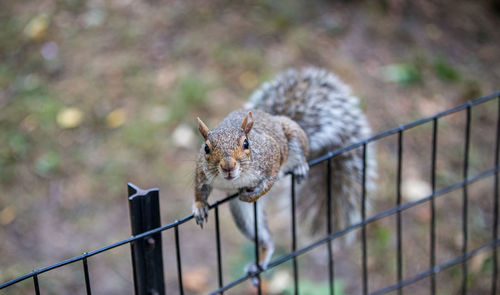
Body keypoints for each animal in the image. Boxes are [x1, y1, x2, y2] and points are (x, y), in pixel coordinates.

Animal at [191, 67, 376, 284]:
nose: (228, 166)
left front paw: (254, 194)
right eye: (206, 148)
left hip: (293, 137)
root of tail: (274, 116)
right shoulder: (201, 170)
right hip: (243, 216)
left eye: (246, 144)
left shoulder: (270, 158)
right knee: (264, 238)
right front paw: (200, 207)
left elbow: (268, 181)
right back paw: (261, 259)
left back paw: (300, 167)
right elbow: (199, 189)